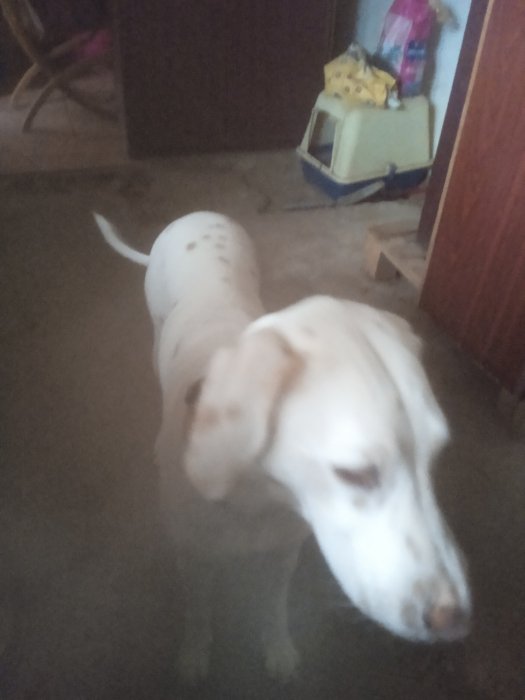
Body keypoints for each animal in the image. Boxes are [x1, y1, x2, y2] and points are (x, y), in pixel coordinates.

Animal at [94, 211, 471, 682]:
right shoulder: (195, 559)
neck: (255, 500)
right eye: (354, 473)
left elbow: (273, 609)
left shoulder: (282, 556)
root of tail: (198, 215)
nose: (455, 620)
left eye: (435, 458)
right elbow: (198, 612)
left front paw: (277, 648)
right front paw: (195, 654)